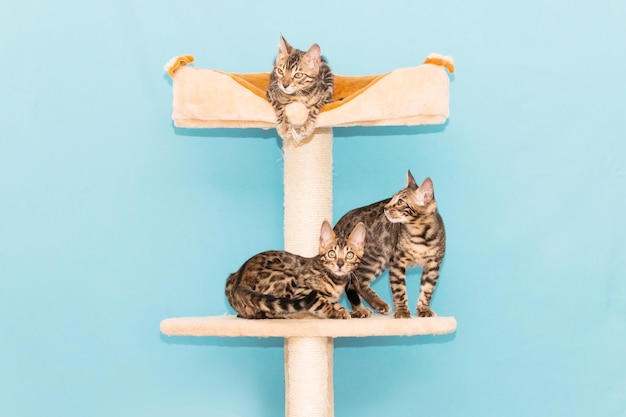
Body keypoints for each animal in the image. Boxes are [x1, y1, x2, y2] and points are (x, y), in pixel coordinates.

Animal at [224, 221, 364, 318]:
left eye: (349, 255)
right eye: (331, 253)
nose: (340, 264)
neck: (337, 280)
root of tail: (240, 280)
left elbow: (335, 304)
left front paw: (349, 311)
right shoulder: (304, 292)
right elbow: (322, 302)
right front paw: (337, 313)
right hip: (288, 274)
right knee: (274, 312)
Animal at [334, 171, 446, 318]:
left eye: (400, 202)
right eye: (392, 199)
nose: (385, 207)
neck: (421, 236)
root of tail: (343, 220)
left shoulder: (433, 265)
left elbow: (427, 290)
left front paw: (423, 309)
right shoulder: (397, 262)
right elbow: (399, 290)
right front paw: (402, 312)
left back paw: (367, 307)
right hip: (374, 257)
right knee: (355, 281)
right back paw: (371, 306)